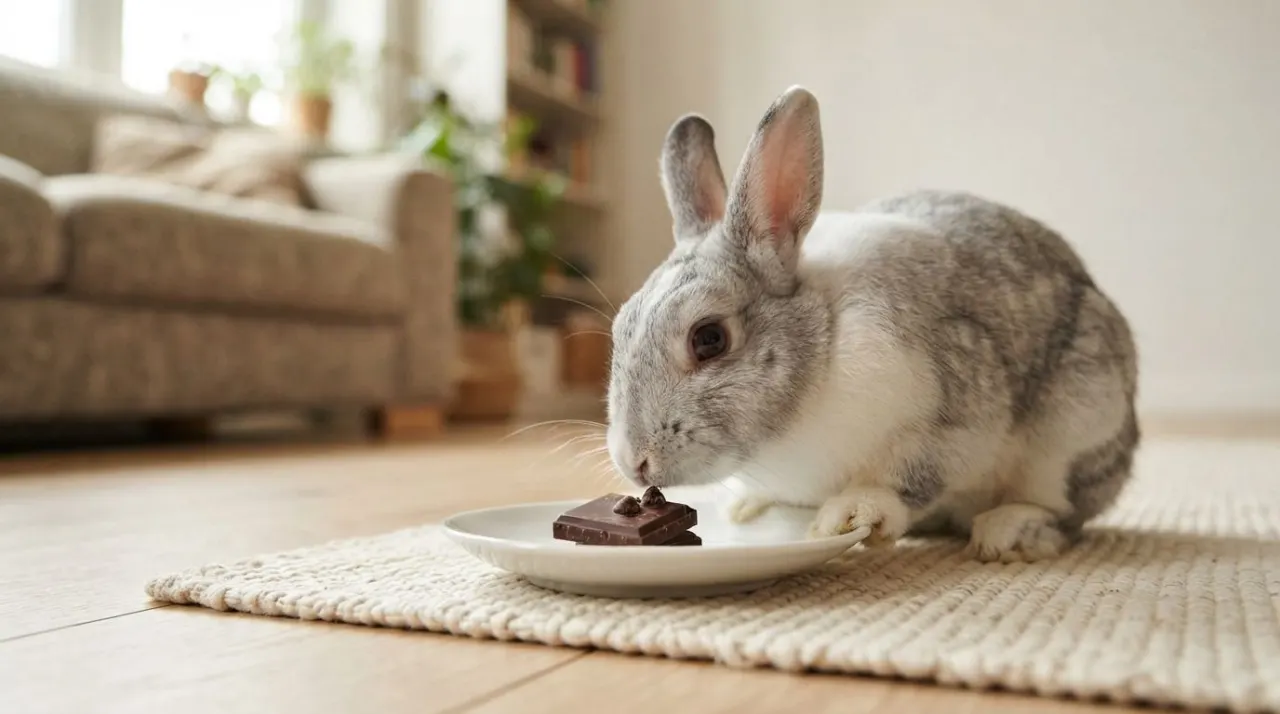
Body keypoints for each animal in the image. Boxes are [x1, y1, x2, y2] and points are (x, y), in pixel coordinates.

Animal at [605, 86, 1139, 562]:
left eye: (709, 338)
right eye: (620, 329)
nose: (634, 461)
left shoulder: (951, 419)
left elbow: (907, 479)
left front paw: (850, 515)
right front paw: (747, 508)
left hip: (1077, 427)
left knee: (1063, 514)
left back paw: (1007, 533)